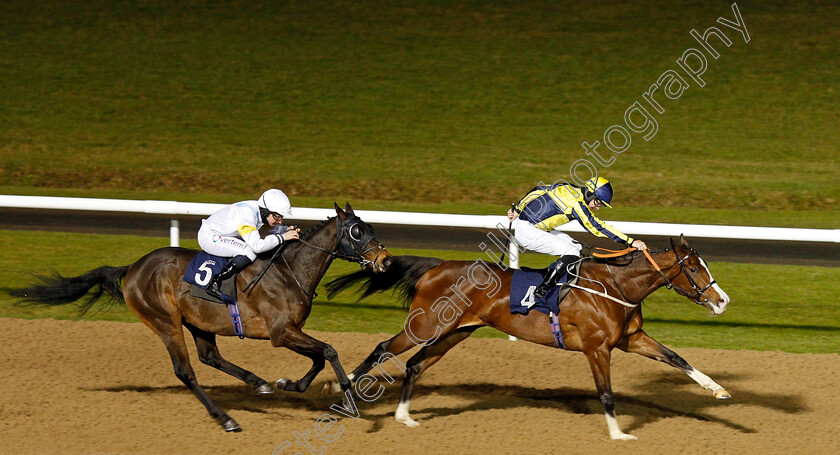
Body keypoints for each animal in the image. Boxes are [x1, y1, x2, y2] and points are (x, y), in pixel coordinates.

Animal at [12, 205, 394, 432]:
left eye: (371, 227)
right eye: (357, 231)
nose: (386, 261)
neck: (289, 270)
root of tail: (134, 267)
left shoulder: (291, 330)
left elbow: (318, 358)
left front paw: (289, 384)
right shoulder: (280, 332)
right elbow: (328, 350)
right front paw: (348, 401)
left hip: (198, 323)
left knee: (210, 357)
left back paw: (259, 383)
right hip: (165, 322)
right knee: (186, 371)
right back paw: (226, 419)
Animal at [326, 235, 728, 442]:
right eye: (694, 268)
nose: (722, 300)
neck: (614, 286)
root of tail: (435, 266)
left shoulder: (630, 338)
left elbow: (677, 358)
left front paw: (718, 390)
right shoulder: (597, 348)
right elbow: (606, 393)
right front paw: (618, 434)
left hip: (456, 332)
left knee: (414, 364)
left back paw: (404, 417)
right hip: (425, 326)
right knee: (384, 349)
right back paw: (340, 391)